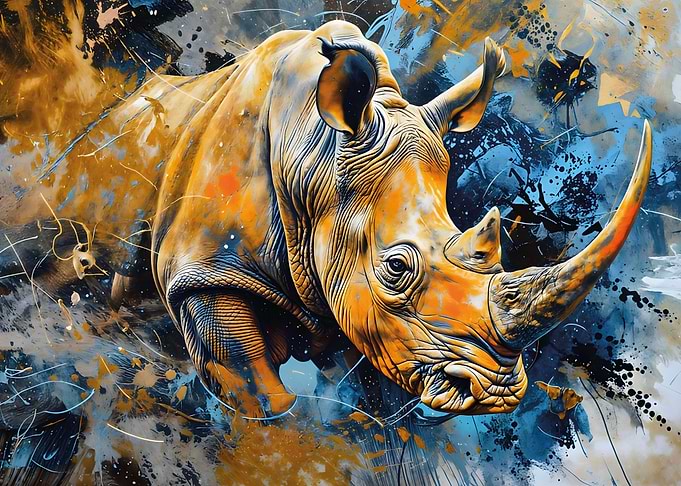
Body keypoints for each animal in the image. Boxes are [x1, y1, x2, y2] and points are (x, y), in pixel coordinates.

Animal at [1, 20, 651, 418]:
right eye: (395, 269)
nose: (496, 394)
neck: (315, 153)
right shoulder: (203, 269)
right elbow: (254, 387)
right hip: (83, 167)